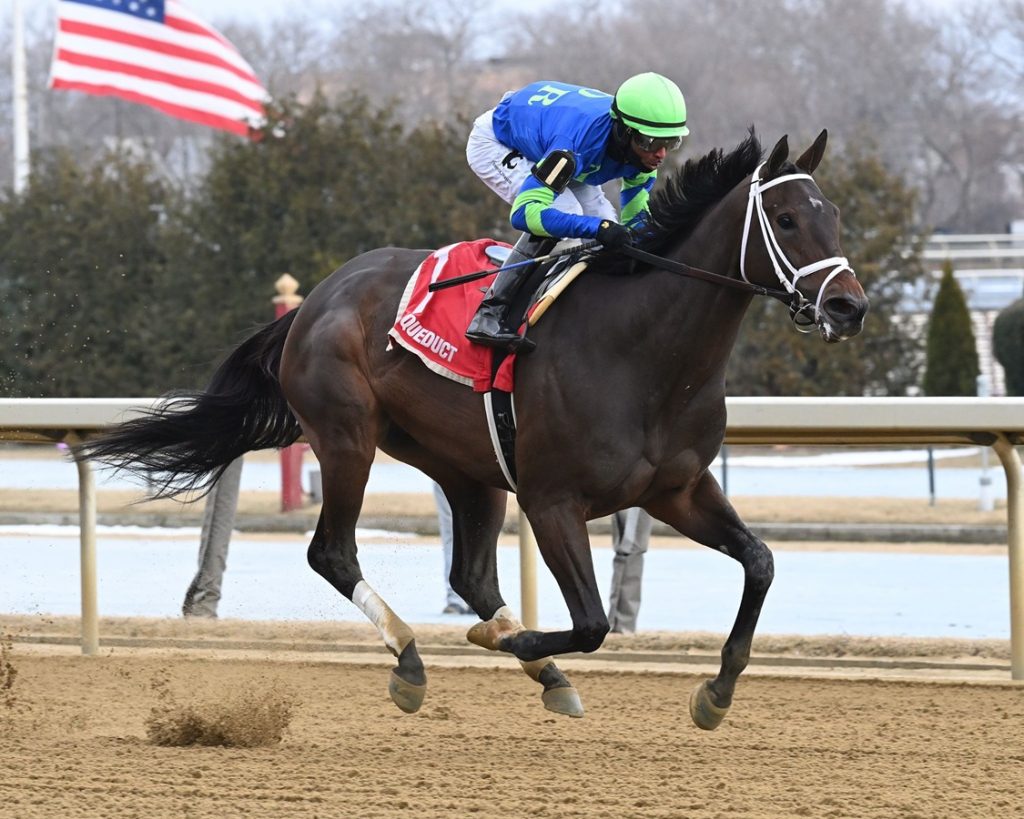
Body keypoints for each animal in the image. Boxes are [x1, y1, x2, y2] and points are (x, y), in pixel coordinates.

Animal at [79, 127, 868, 728]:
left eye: (834, 217)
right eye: (787, 220)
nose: (849, 306)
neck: (646, 352)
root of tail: (316, 299)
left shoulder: (678, 488)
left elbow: (760, 562)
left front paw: (716, 692)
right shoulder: (553, 500)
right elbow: (592, 622)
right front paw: (507, 641)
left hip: (465, 466)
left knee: (469, 571)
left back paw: (538, 668)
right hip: (347, 437)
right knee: (333, 552)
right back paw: (414, 659)